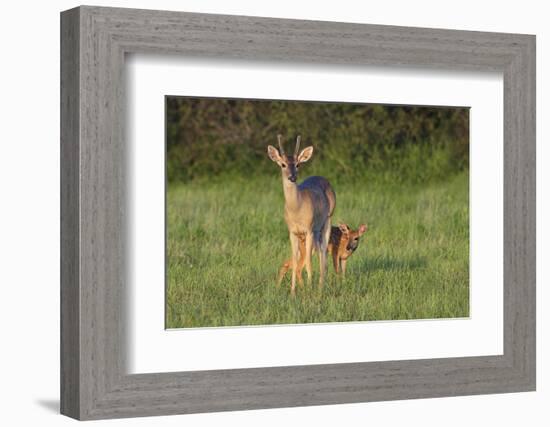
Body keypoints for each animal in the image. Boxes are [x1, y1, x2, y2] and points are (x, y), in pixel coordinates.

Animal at [268, 135, 336, 296]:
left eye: (298, 165)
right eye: (283, 164)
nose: (292, 177)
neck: (296, 210)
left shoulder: (308, 229)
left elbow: (309, 263)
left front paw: (309, 291)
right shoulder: (292, 232)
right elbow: (294, 259)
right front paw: (293, 293)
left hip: (327, 220)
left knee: (323, 252)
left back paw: (320, 287)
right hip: (315, 232)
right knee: (319, 251)